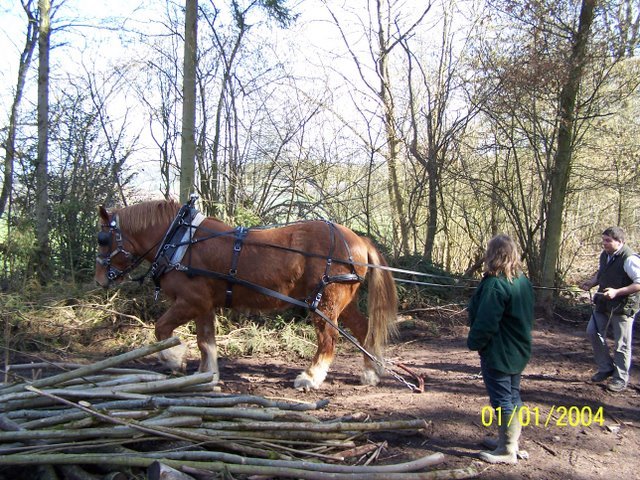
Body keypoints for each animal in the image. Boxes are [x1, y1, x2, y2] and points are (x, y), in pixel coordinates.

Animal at [95, 199, 398, 390]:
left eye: (103, 239)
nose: (99, 280)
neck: (180, 240)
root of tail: (359, 239)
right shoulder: (204, 305)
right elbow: (205, 341)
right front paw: (206, 375)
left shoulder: (191, 301)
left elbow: (162, 329)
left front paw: (174, 358)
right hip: (343, 302)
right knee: (362, 329)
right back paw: (370, 373)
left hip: (325, 303)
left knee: (328, 339)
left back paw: (310, 378)